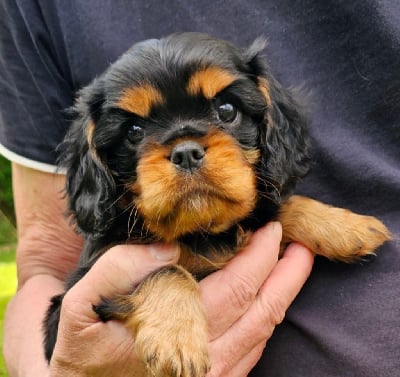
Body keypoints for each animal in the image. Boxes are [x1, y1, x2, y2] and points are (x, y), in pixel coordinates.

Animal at [43, 33, 390, 376]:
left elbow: (277, 209)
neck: (201, 232)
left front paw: (345, 226)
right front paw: (176, 339)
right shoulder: (75, 296)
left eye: (226, 110)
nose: (186, 152)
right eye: (134, 132)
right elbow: (166, 269)